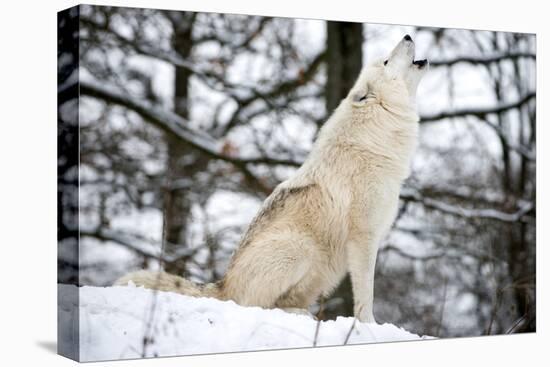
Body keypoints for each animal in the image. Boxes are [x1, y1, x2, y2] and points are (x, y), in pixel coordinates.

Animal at [114, 35, 430, 324]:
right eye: (386, 61)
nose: (407, 35)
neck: (375, 138)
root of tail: (222, 286)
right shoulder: (364, 238)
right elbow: (366, 294)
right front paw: (369, 326)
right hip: (298, 249)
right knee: (255, 306)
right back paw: (300, 315)